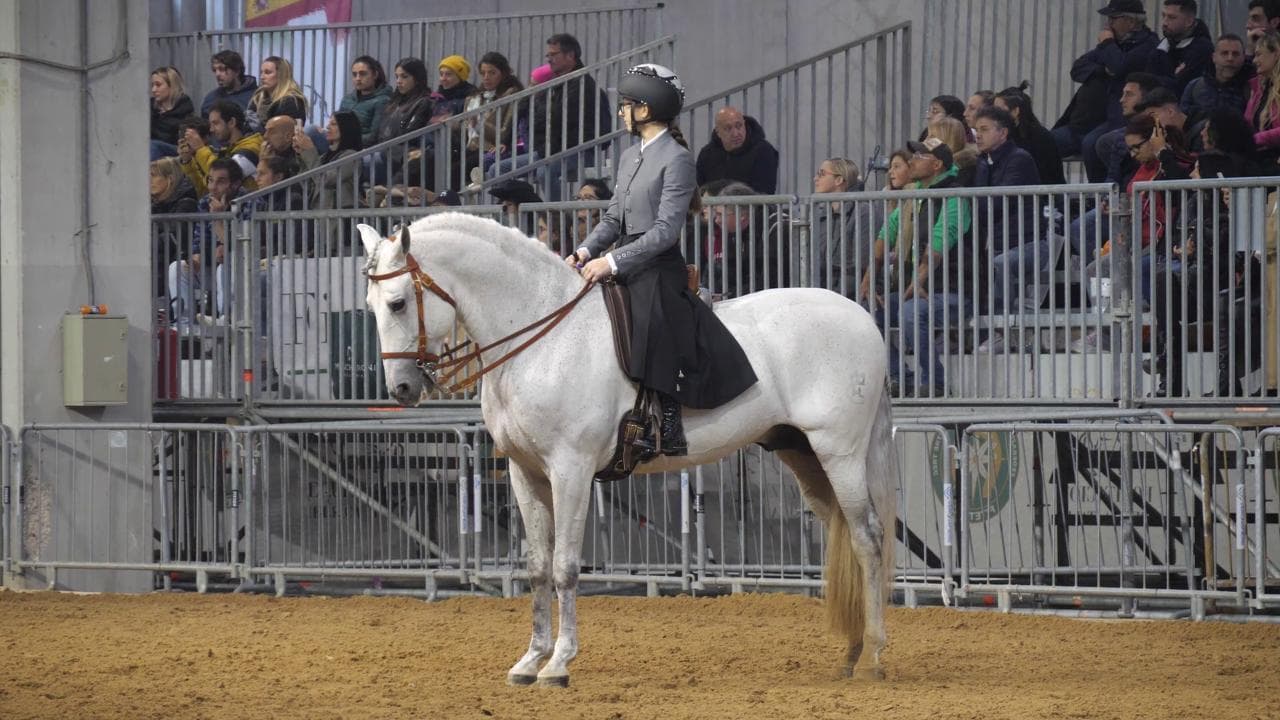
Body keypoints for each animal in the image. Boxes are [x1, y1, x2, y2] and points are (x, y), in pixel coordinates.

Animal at [357, 213, 898, 686]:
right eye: (371, 305)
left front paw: (559, 664)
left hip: (840, 452)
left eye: (399, 303)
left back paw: (872, 657)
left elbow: (565, 567)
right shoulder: (524, 473)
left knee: (867, 538)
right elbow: (537, 568)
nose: (402, 388)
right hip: (803, 453)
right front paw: (530, 661)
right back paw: (851, 654)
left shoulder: (571, 470)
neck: (543, 337)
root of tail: (863, 319)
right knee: (845, 537)